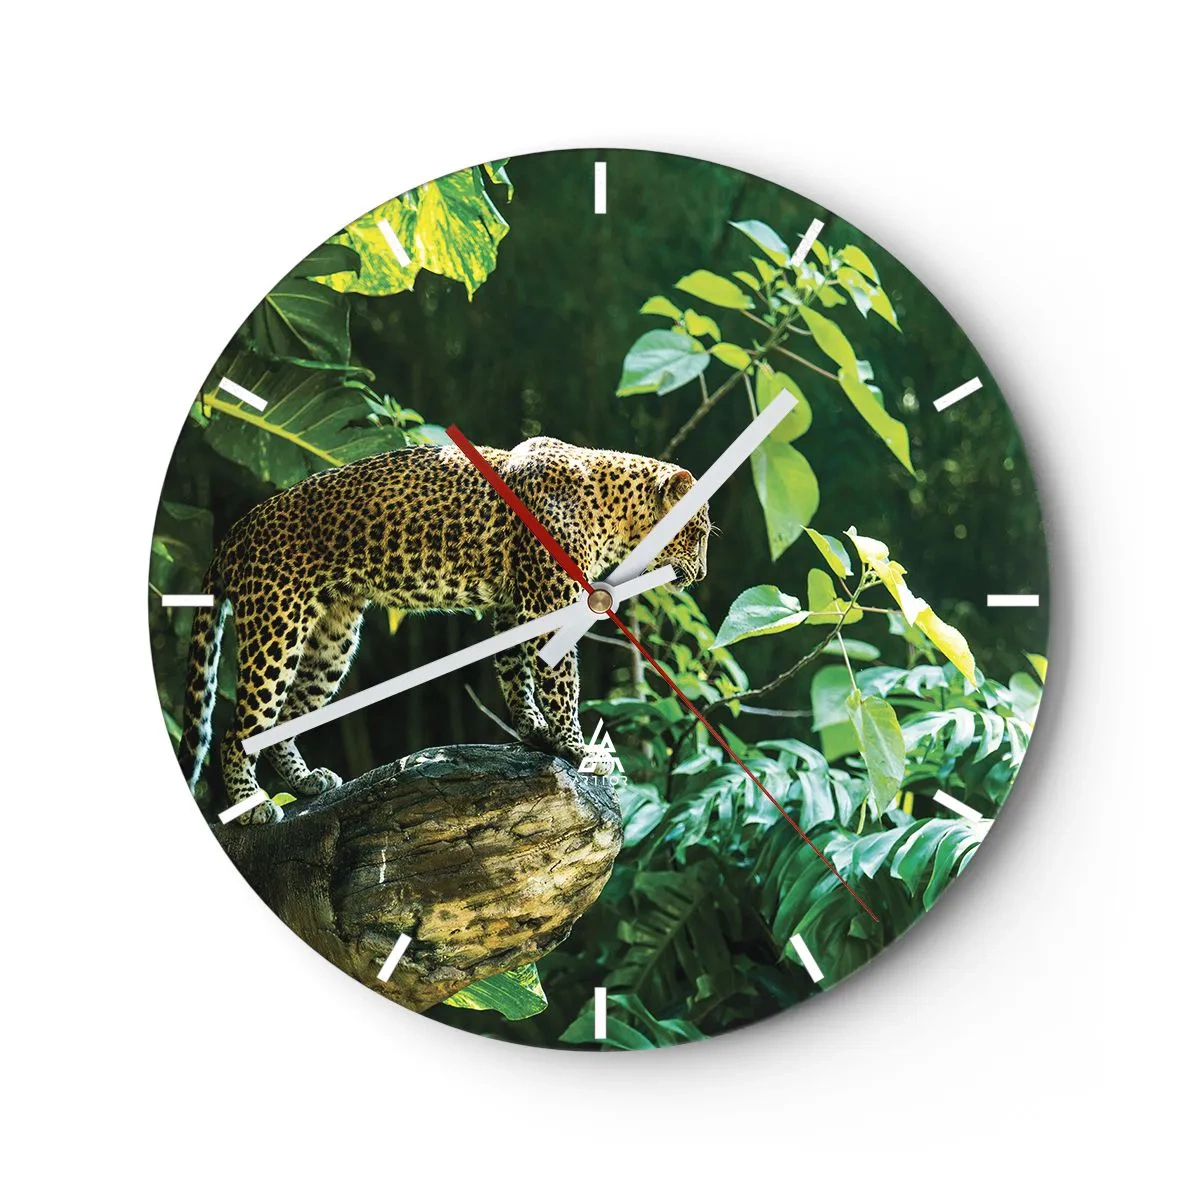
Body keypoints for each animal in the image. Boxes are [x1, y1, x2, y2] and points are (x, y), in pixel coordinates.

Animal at [178, 436, 710, 824]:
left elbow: (515, 672)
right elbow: (561, 681)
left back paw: (307, 781)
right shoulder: (550, 601)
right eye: (699, 532)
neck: (613, 510)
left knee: (285, 717)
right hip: (277, 625)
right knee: (237, 730)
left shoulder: (514, 605)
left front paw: (534, 731)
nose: (703, 574)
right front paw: (577, 746)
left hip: (331, 639)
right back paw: (252, 805)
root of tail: (235, 530)